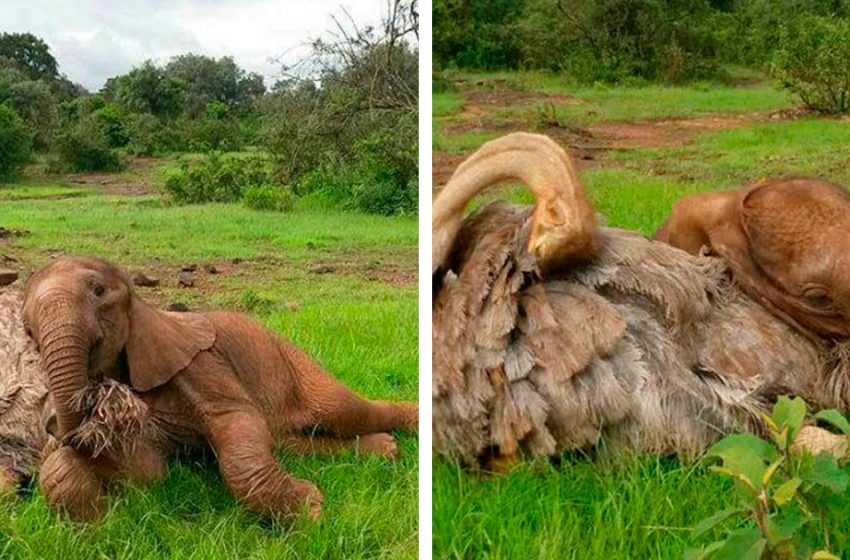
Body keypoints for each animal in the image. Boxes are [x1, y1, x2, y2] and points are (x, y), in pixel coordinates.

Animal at [21, 258, 416, 520]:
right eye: (27, 328)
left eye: (99, 291)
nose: (53, 425)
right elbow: (147, 472)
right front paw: (104, 521)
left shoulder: (200, 365)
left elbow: (237, 423)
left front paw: (312, 512)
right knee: (283, 439)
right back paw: (385, 448)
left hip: (291, 362)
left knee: (343, 410)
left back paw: (406, 428)